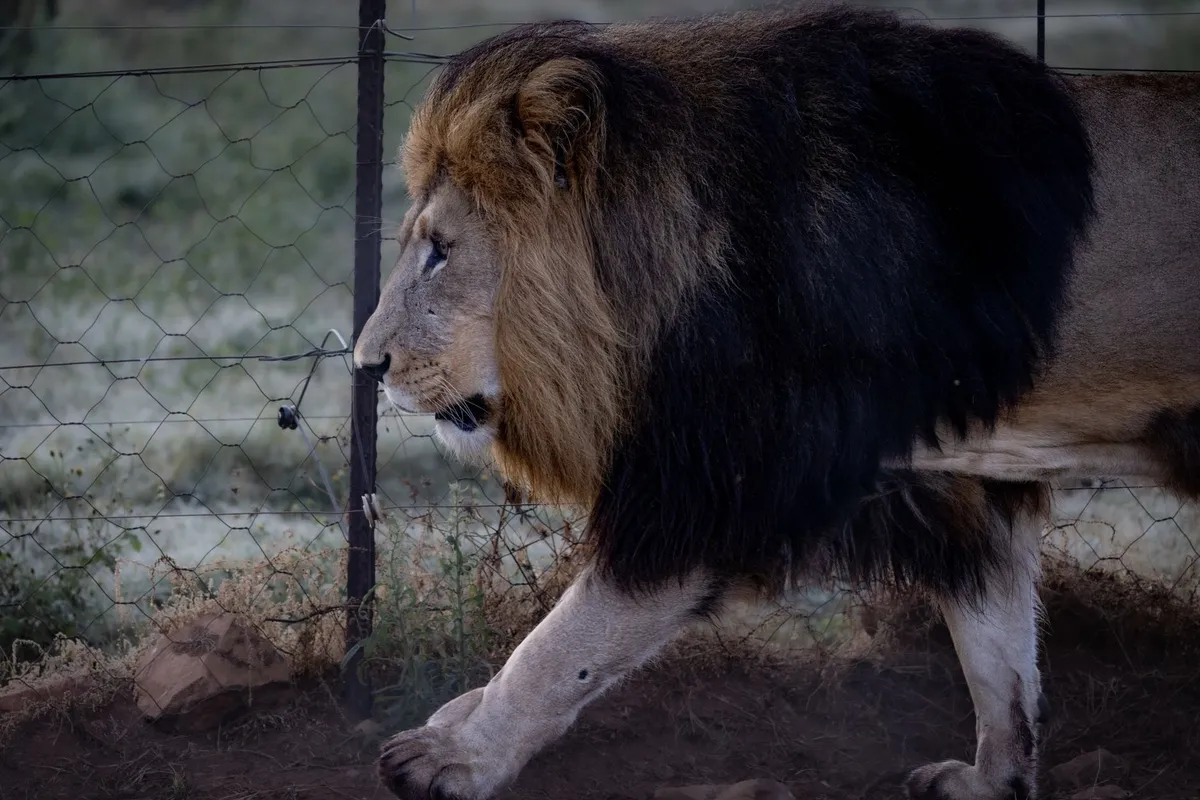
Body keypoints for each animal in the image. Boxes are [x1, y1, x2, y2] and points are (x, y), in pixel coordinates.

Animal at [352, 6, 1200, 799]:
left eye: (440, 251)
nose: (367, 364)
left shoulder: (728, 479)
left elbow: (564, 644)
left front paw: (458, 755)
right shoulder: (957, 486)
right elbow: (997, 653)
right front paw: (995, 779)